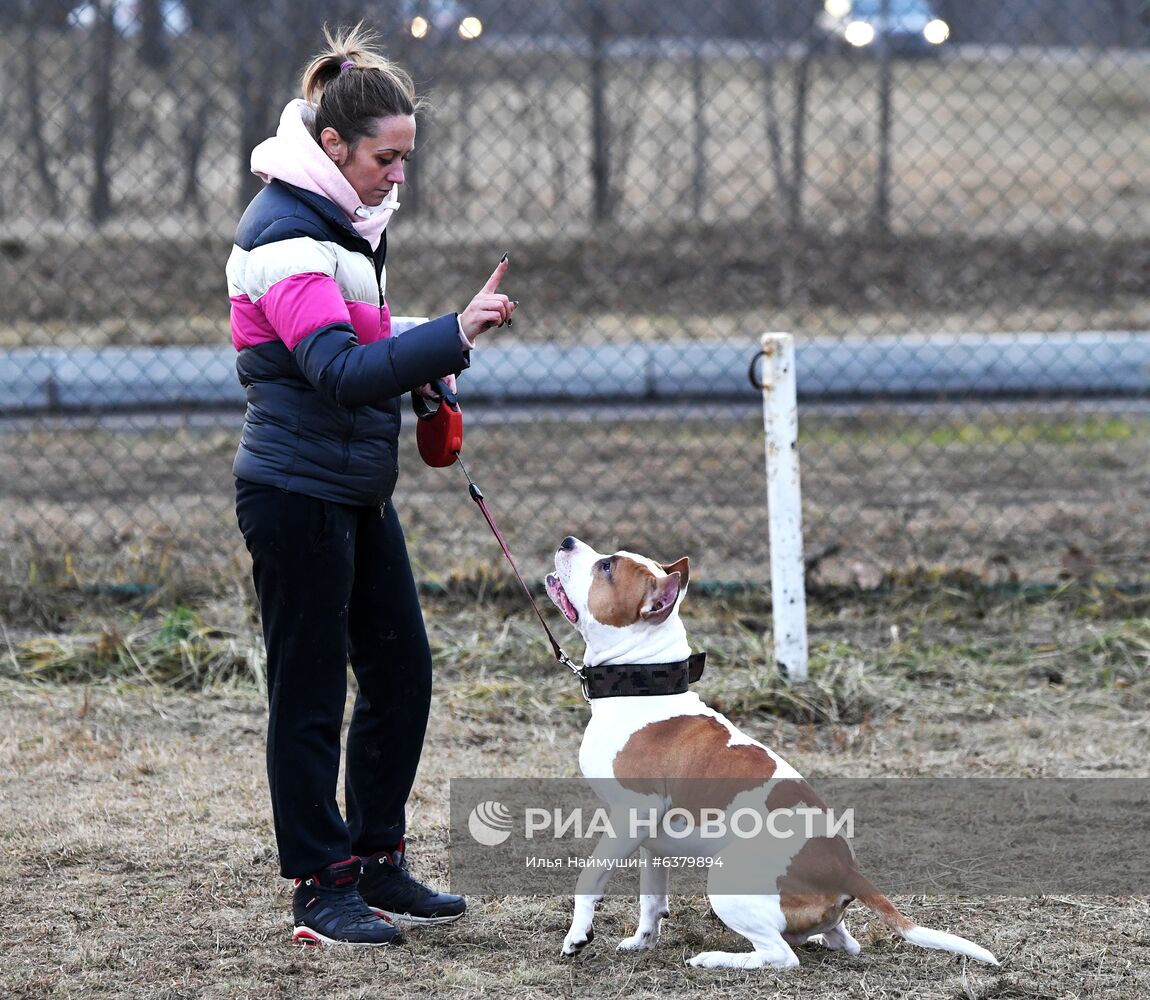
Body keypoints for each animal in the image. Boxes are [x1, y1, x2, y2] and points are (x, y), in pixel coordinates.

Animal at [542, 535, 993, 974]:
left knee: (781, 956)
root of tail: (847, 871)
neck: (642, 686)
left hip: (727, 880)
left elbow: (588, 881)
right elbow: (652, 899)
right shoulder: (650, 840)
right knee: (843, 942)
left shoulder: (630, 816)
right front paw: (642, 941)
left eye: (607, 566)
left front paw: (577, 937)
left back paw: (716, 959)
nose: (566, 541)